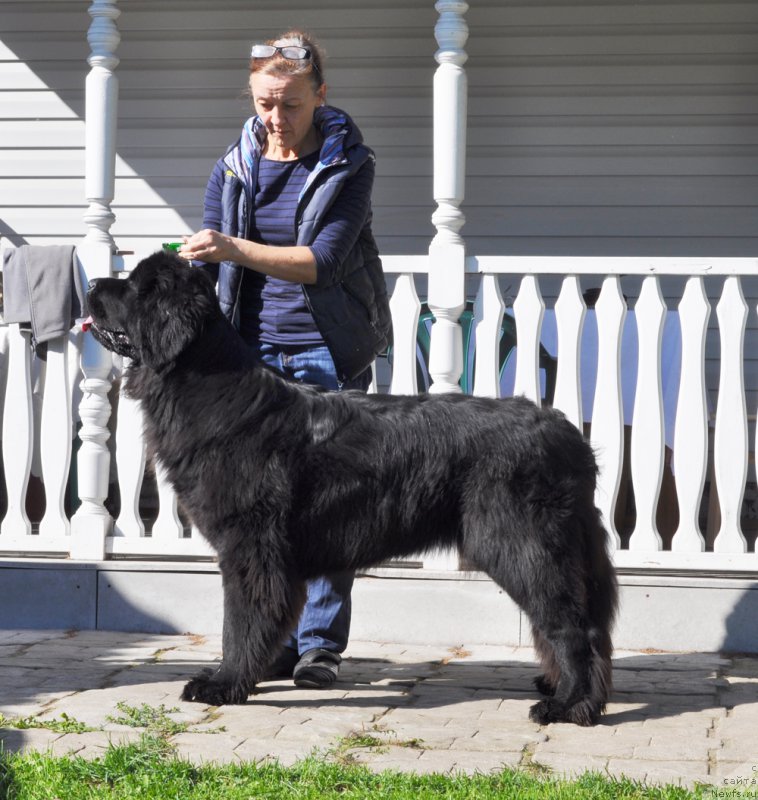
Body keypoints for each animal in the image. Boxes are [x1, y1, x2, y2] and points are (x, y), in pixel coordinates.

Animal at [87, 250, 616, 724]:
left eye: (135, 287)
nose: (92, 282)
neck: (209, 386)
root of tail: (568, 433)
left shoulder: (249, 545)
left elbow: (237, 623)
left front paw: (224, 683)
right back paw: (563, 689)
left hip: (522, 545)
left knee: (572, 626)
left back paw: (571, 707)